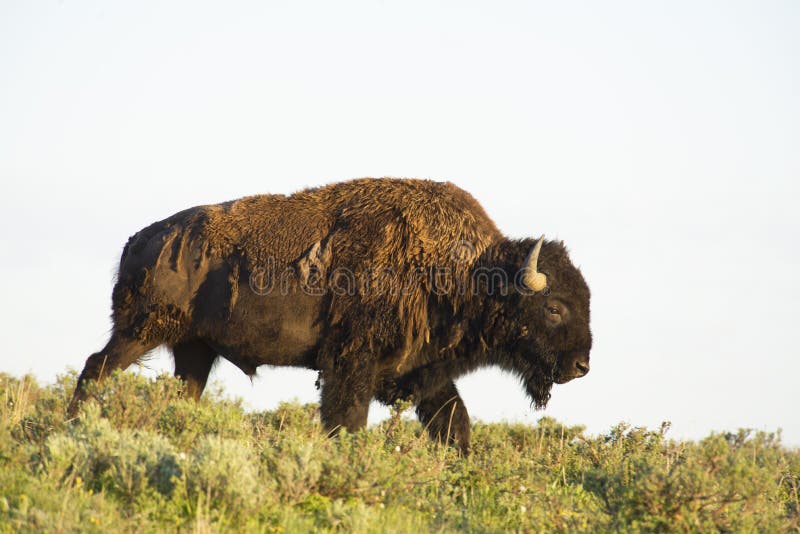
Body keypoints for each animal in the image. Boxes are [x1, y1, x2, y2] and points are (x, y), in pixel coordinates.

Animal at [68, 178, 592, 453]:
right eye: (554, 307)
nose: (581, 365)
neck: (464, 271)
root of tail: (140, 239)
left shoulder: (424, 373)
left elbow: (454, 424)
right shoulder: (351, 366)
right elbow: (347, 421)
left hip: (193, 349)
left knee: (181, 392)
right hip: (139, 331)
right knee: (95, 368)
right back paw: (72, 426)